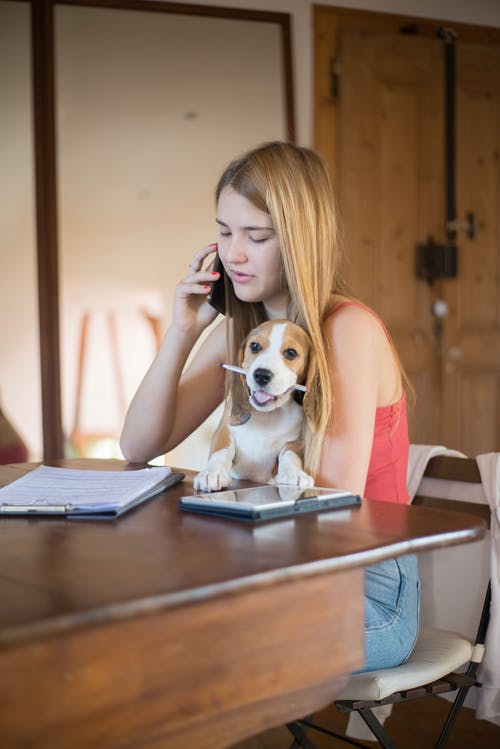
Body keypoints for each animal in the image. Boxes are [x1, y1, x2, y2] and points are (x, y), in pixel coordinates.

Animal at [193, 320, 314, 490]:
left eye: (291, 353)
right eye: (255, 346)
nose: (262, 375)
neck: (267, 414)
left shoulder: (295, 442)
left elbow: (289, 455)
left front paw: (294, 473)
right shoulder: (224, 430)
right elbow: (220, 452)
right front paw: (211, 472)